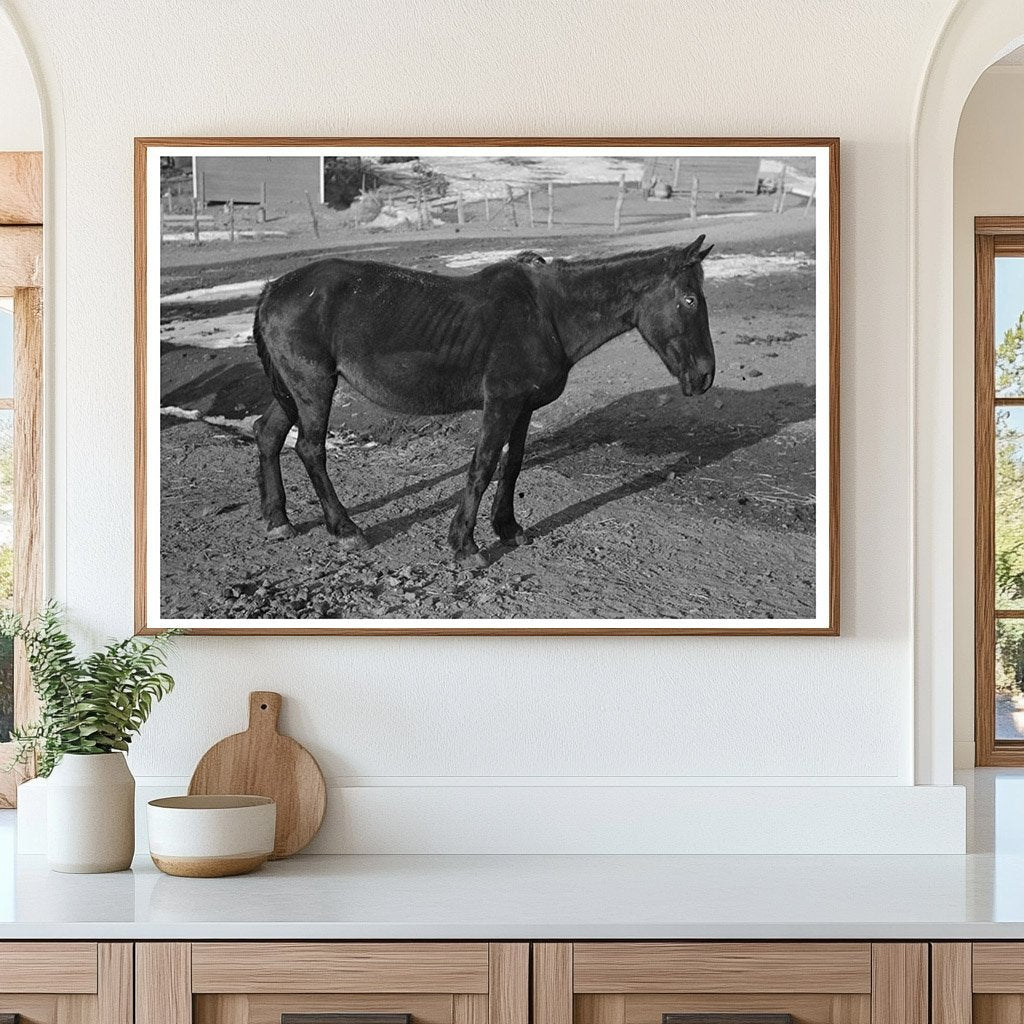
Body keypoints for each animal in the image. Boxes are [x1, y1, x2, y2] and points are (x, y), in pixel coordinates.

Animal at [251, 234, 716, 569]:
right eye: (690, 300)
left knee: (267, 434)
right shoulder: (501, 403)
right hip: (314, 387)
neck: (547, 314)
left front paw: (507, 527)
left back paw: (278, 521)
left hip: (293, 391)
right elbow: (483, 466)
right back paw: (345, 529)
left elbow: (513, 464)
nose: (705, 376)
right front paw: (465, 544)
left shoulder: (523, 408)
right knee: (310, 448)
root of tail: (273, 290)